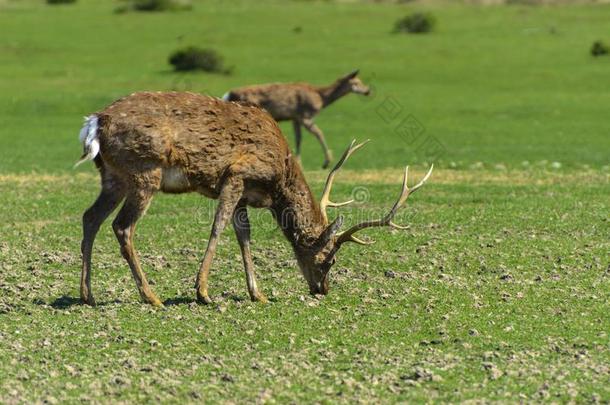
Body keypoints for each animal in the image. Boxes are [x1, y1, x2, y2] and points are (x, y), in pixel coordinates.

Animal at [76, 90, 430, 306]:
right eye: (330, 259)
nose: (322, 290)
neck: (278, 179)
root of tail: (95, 122)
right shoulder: (236, 175)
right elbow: (218, 227)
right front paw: (202, 291)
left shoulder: (244, 196)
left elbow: (244, 236)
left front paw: (256, 293)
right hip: (144, 171)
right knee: (122, 227)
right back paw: (152, 297)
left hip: (113, 176)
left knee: (90, 217)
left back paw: (87, 295)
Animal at [221, 70, 368, 168]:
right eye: (357, 82)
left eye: (361, 81)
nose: (368, 90)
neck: (321, 98)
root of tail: (228, 94)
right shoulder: (305, 115)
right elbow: (319, 133)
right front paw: (327, 161)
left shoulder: (295, 118)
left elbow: (298, 138)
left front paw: (299, 161)